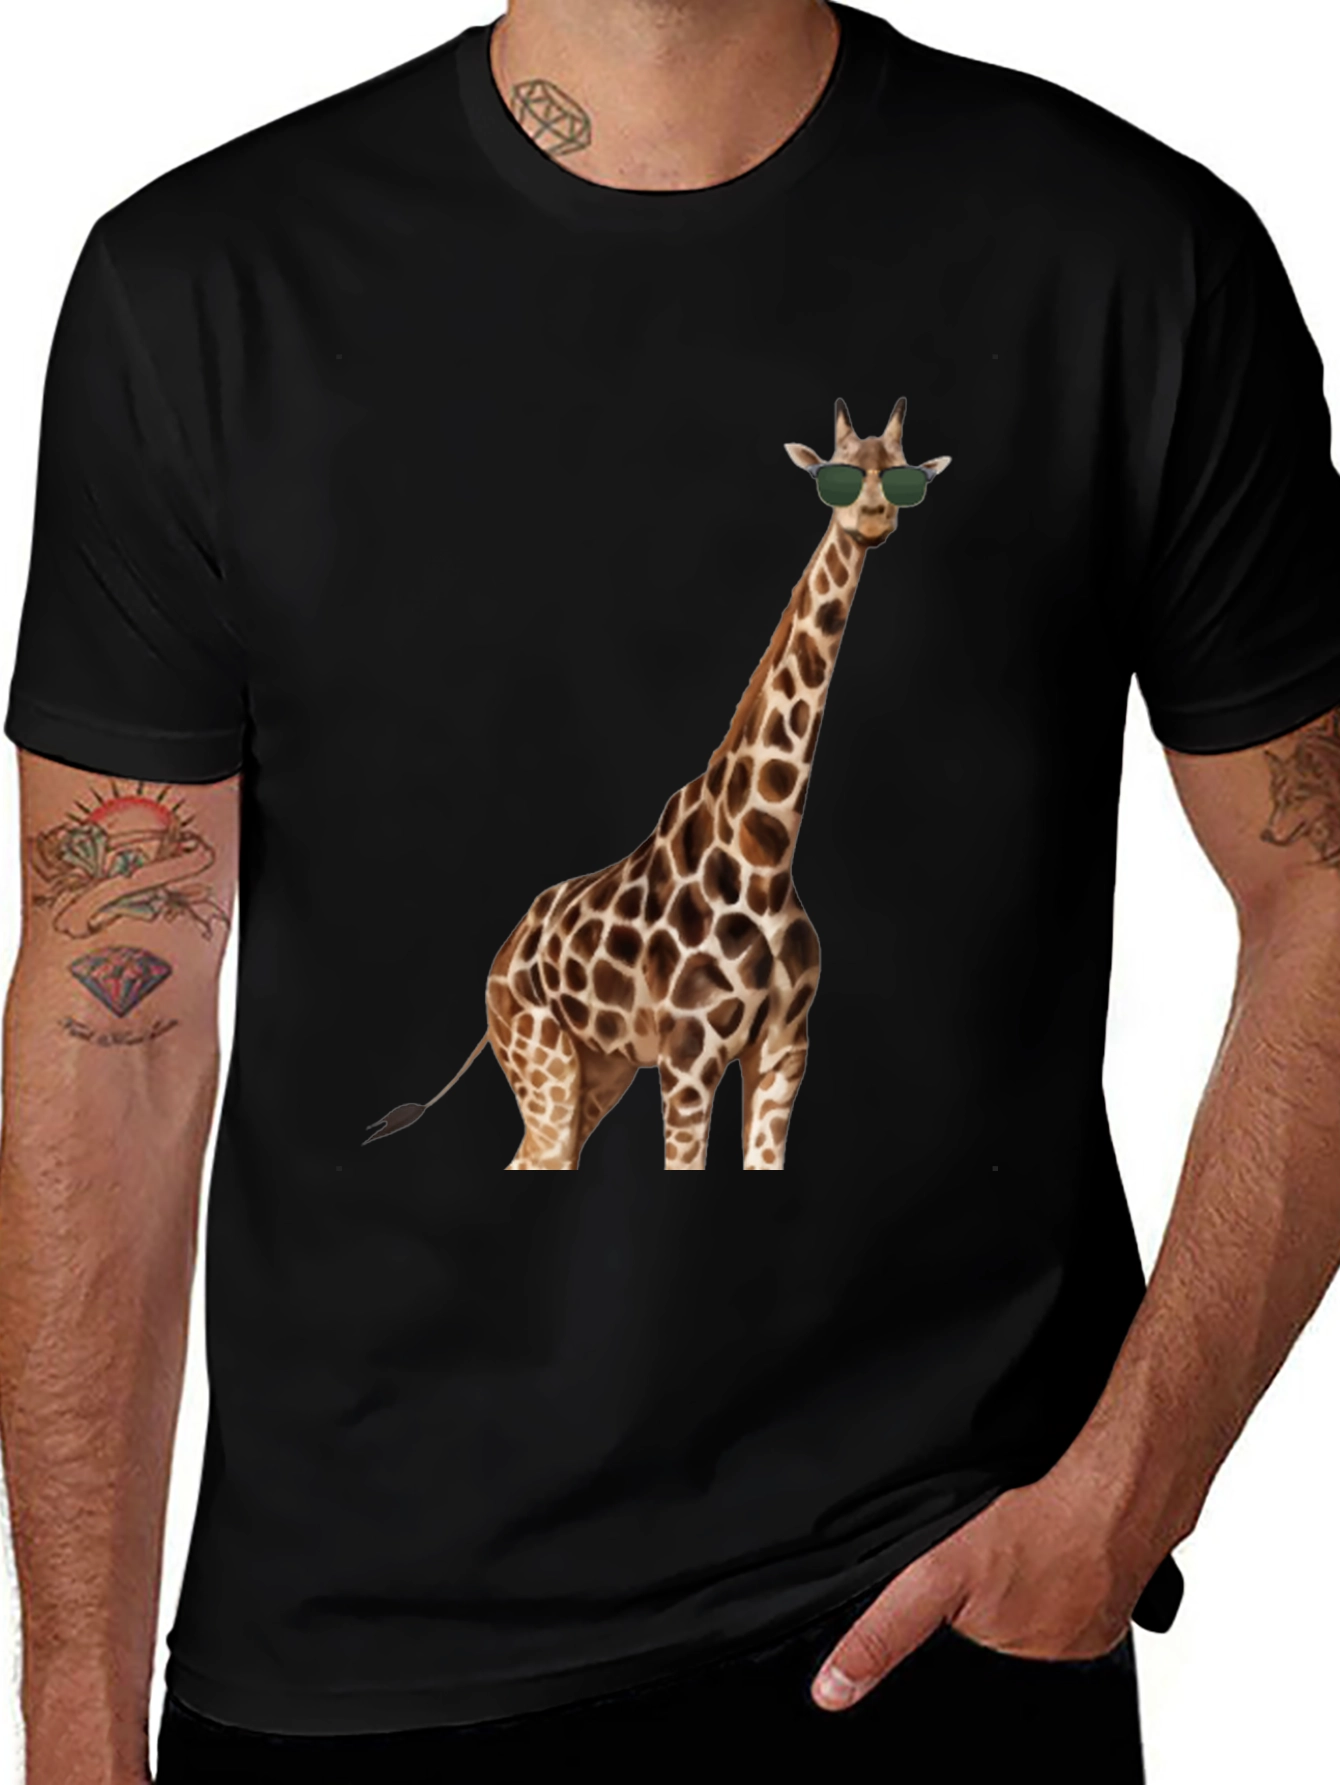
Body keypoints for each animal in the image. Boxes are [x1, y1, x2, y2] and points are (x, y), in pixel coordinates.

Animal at [373, 399, 950, 1169]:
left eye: (907, 476)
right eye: (834, 475)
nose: (876, 517)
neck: (767, 853)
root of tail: (499, 964)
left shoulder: (783, 1053)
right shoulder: (688, 1060)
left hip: (599, 1070)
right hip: (543, 1061)